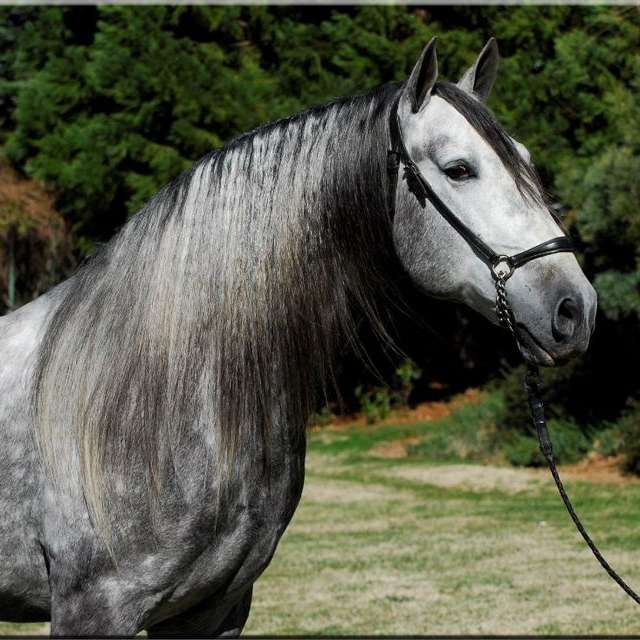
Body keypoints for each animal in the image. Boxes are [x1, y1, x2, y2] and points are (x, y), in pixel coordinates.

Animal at [1, 38, 596, 636]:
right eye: (458, 169)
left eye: (526, 160)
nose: (576, 308)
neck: (165, 395)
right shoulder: (95, 607)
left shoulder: (213, 611)